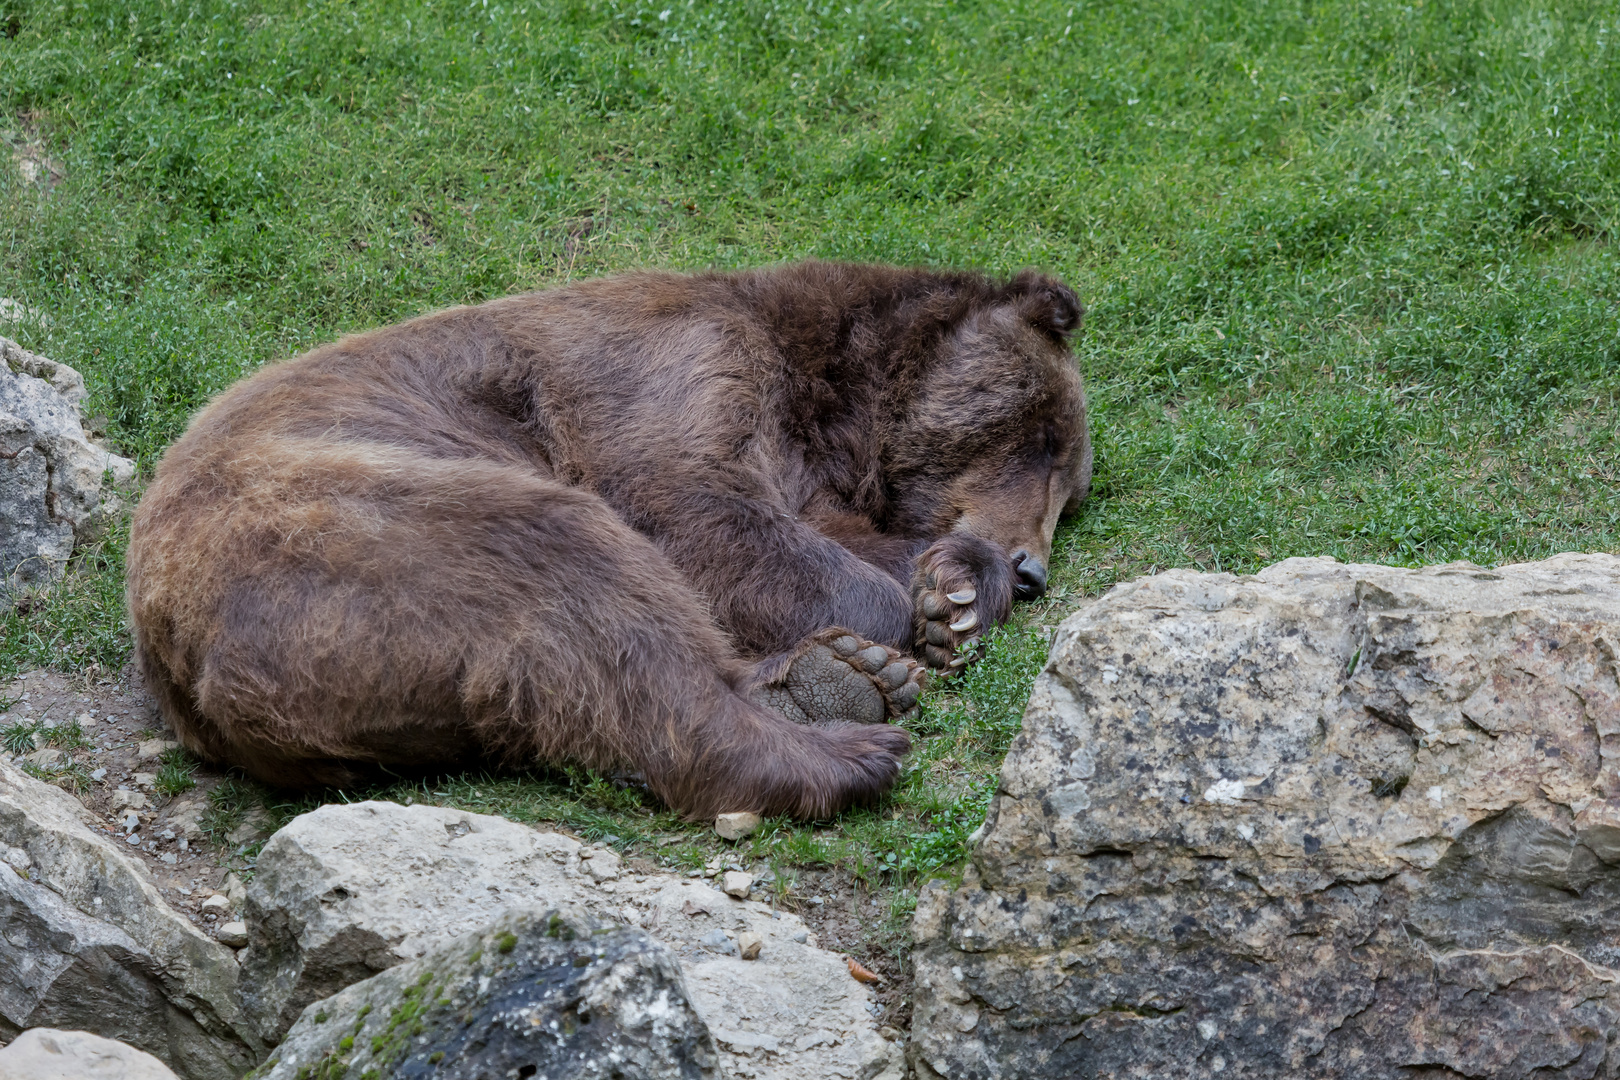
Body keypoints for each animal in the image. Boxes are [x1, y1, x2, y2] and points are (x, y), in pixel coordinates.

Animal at [123, 259, 1088, 819]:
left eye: (1070, 491)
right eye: (1045, 437)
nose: (1032, 569)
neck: (830, 400)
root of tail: (180, 664)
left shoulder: (805, 466)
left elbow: (833, 534)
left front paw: (955, 592)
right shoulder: (666, 370)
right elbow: (698, 505)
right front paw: (911, 610)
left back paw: (837, 681)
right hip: (352, 528)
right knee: (581, 581)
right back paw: (843, 741)